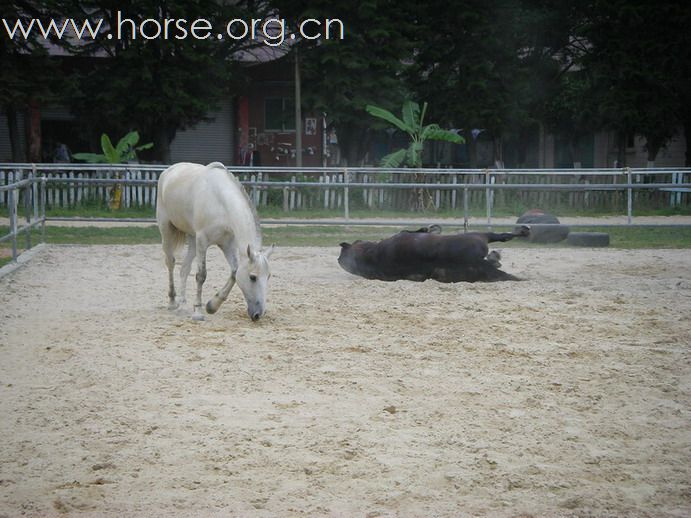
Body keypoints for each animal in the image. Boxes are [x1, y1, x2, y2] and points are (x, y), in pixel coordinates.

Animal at [157, 165, 274, 322]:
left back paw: (182, 305)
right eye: (253, 277)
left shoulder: (227, 244)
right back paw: (172, 302)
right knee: (170, 262)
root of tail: (169, 171)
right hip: (166, 229)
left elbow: (234, 272)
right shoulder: (202, 241)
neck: (220, 203)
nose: (258, 314)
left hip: (192, 239)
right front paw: (198, 312)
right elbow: (201, 276)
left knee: (185, 268)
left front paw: (212, 306)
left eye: (268, 276)